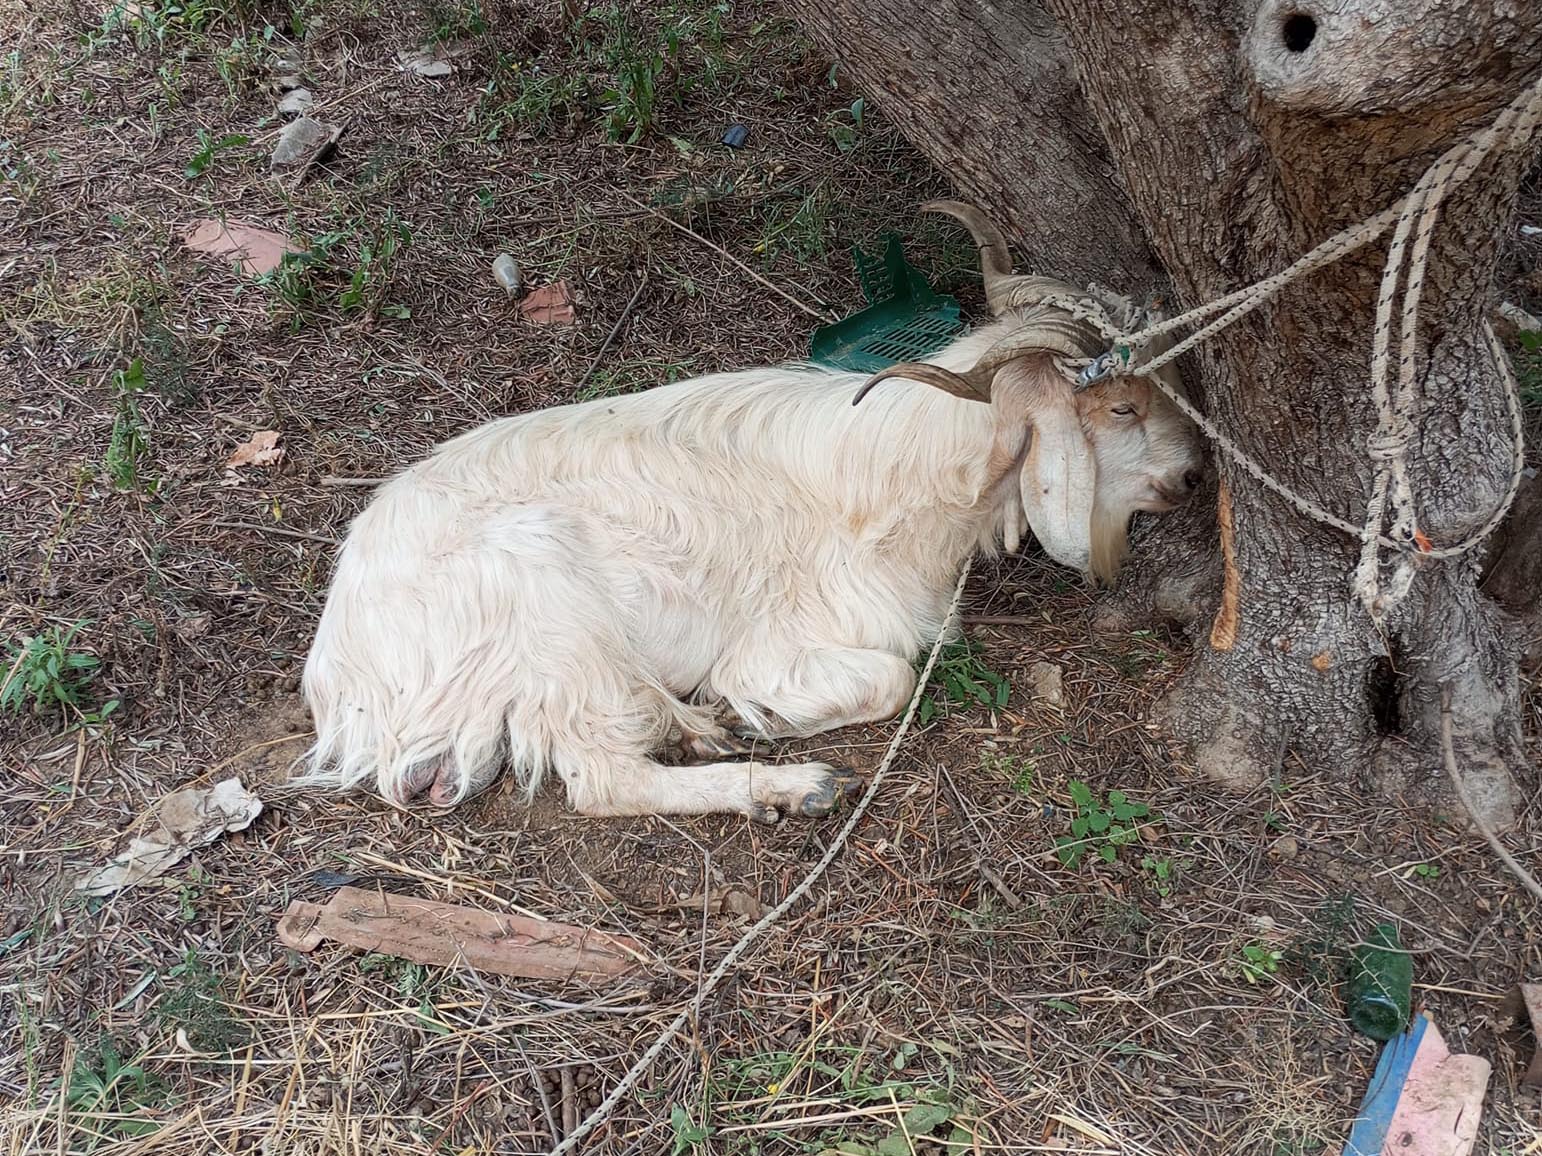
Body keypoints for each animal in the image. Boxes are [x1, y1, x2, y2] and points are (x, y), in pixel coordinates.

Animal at [294, 203, 1196, 819]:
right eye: (1118, 408)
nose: (1193, 473)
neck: (900, 470)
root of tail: (349, 672)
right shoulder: (787, 638)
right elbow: (893, 678)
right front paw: (749, 711)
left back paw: (694, 729)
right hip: (551, 610)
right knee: (602, 778)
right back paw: (790, 783)